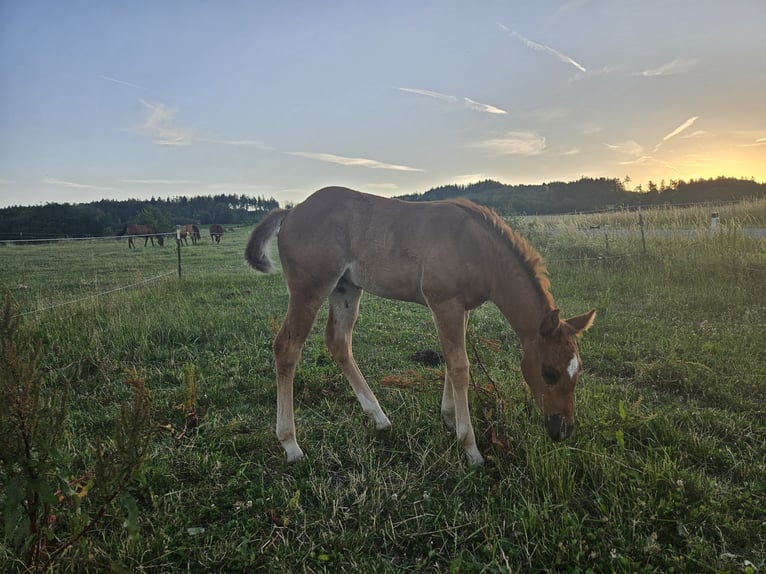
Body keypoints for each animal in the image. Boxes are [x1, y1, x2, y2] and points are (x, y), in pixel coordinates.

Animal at [245, 187, 595, 465]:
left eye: (578, 371)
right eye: (549, 372)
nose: (563, 430)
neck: (477, 249)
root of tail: (291, 212)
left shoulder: (459, 308)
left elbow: (453, 360)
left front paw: (450, 420)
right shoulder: (445, 303)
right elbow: (460, 366)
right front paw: (470, 448)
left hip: (346, 289)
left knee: (338, 341)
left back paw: (380, 418)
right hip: (310, 288)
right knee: (287, 346)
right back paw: (291, 444)